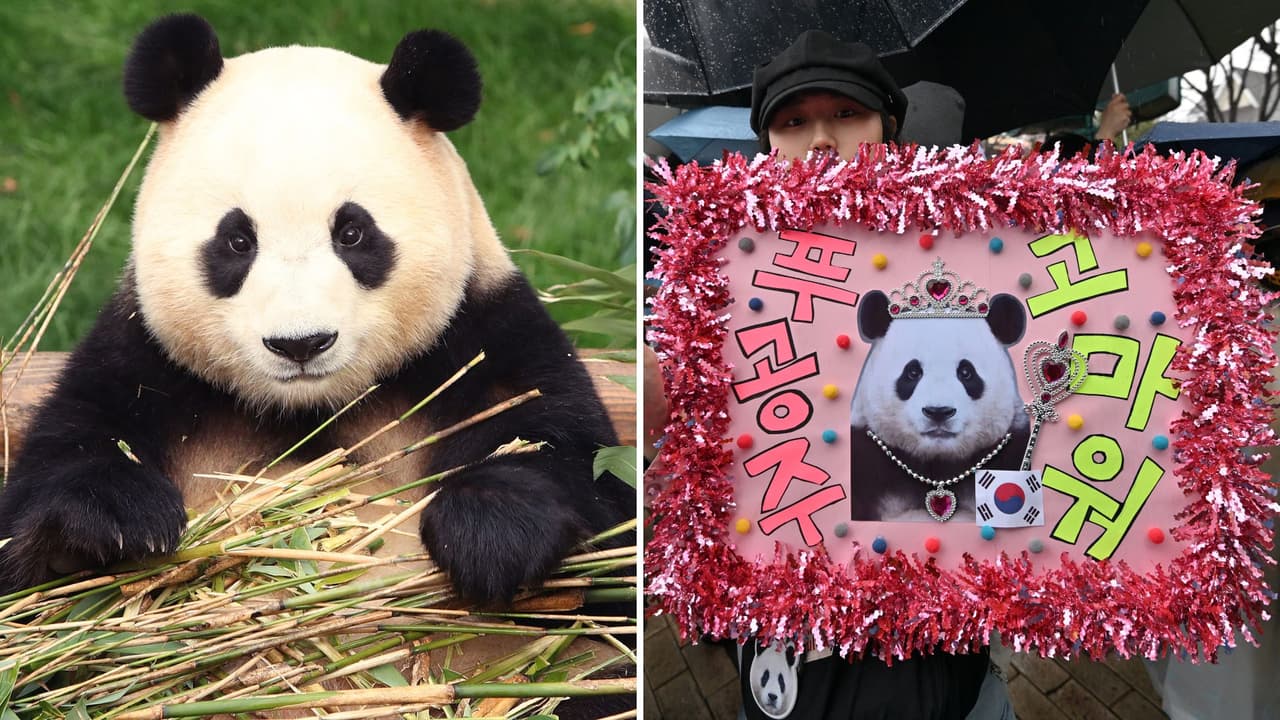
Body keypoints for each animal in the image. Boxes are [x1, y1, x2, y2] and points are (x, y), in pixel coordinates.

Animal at [0, 15, 633, 608]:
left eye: (352, 233)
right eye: (237, 241)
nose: (300, 343)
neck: (310, 411)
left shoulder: (483, 335)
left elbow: (576, 465)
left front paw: (488, 531)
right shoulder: (142, 360)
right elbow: (49, 487)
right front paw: (119, 520)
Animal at [848, 288, 1030, 522]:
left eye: (966, 372)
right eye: (912, 372)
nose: (938, 412)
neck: (939, 462)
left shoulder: (1011, 452)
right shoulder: (866, 462)